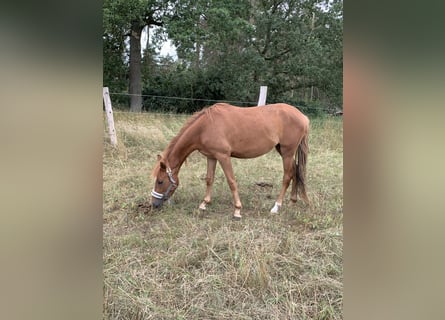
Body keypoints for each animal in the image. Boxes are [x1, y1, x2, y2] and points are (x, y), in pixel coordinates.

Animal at [150, 104, 308, 219]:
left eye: (160, 181)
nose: (154, 204)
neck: (205, 126)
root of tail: (303, 116)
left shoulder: (223, 156)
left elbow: (231, 181)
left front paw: (237, 210)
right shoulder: (211, 157)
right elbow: (209, 179)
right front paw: (204, 204)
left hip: (287, 152)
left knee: (287, 176)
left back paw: (276, 207)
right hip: (283, 150)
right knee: (295, 171)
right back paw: (292, 201)